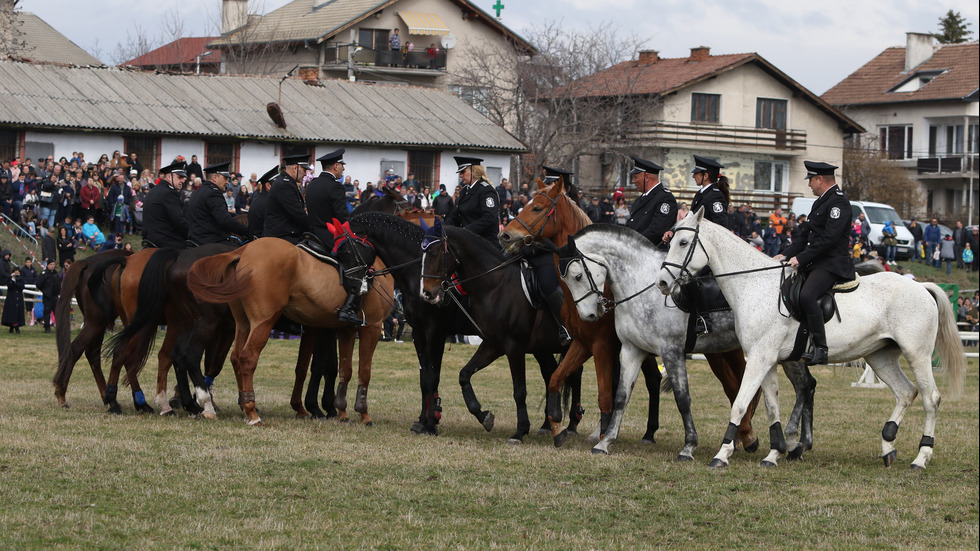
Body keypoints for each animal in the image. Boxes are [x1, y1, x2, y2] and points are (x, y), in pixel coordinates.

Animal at [188, 237, 394, 426]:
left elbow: (340, 369)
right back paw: (250, 412)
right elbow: (361, 371)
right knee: (246, 357)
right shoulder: (371, 327)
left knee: (235, 357)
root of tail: (243, 250)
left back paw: (243, 406)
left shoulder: (343, 329)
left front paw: (339, 412)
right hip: (262, 322)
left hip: (243, 323)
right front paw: (363, 414)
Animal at [502, 179, 768, 454]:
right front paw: (564, 429)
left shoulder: (605, 346)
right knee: (730, 387)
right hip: (717, 351)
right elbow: (559, 379)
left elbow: (606, 394)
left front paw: (601, 434)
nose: (505, 236)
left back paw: (744, 437)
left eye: (537, 208)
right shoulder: (587, 344)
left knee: (736, 387)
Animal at [556, 224, 816, 462]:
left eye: (578, 275)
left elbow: (682, 399)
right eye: (565, 280)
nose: (589, 315)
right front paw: (605, 442)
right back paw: (798, 443)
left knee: (803, 386)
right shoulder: (632, 350)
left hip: (782, 353)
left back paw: (792, 442)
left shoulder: (670, 351)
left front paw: (689, 446)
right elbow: (621, 397)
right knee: (803, 385)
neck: (642, 284)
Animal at [660, 210, 964, 470]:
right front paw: (773, 454)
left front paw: (722, 454)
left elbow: (740, 403)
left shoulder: (759, 358)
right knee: (905, 392)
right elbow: (771, 407)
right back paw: (888, 446)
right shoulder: (767, 359)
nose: (663, 283)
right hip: (880, 356)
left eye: (683, 242)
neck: (755, 286)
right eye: (670, 240)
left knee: (930, 399)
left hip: (917, 354)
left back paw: (921, 457)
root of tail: (921, 287)